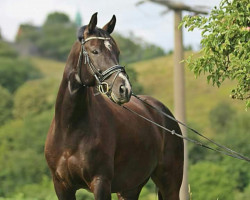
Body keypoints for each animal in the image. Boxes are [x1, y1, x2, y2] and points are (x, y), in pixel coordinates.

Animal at [44, 12, 184, 200]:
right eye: (95, 51)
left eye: (117, 52)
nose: (124, 88)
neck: (70, 129)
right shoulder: (62, 186)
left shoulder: (101, 182)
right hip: (130, 188)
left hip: (170, 184)